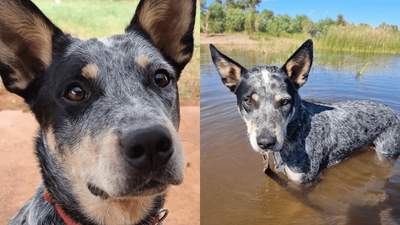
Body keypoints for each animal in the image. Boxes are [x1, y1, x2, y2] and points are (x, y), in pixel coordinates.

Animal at [209, 38, 400, 183]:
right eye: (248, 100)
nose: (266, 142)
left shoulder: (305, 180)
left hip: (386, 151)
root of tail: (395, 113)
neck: (297, 129)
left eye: (285, 101)